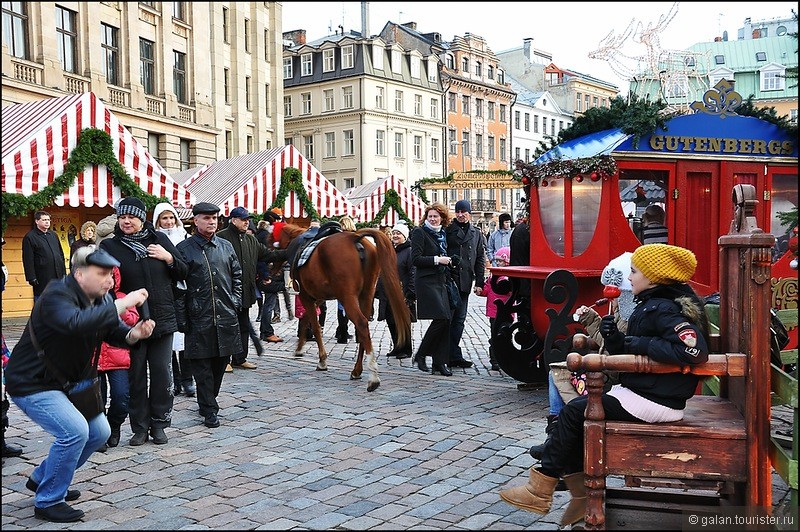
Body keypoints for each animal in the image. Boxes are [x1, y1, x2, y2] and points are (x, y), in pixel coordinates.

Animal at [276, 222, 412, 392]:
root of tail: (355, 237)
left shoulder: (306, 296)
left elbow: (315, 325)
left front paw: (321, 360)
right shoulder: (319, 297)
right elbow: (308, 318)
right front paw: (300, 347)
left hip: (347, 297)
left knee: (361, 323)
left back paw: (373, 377)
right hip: (366, 295)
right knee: (364, 328)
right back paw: (357, 370)